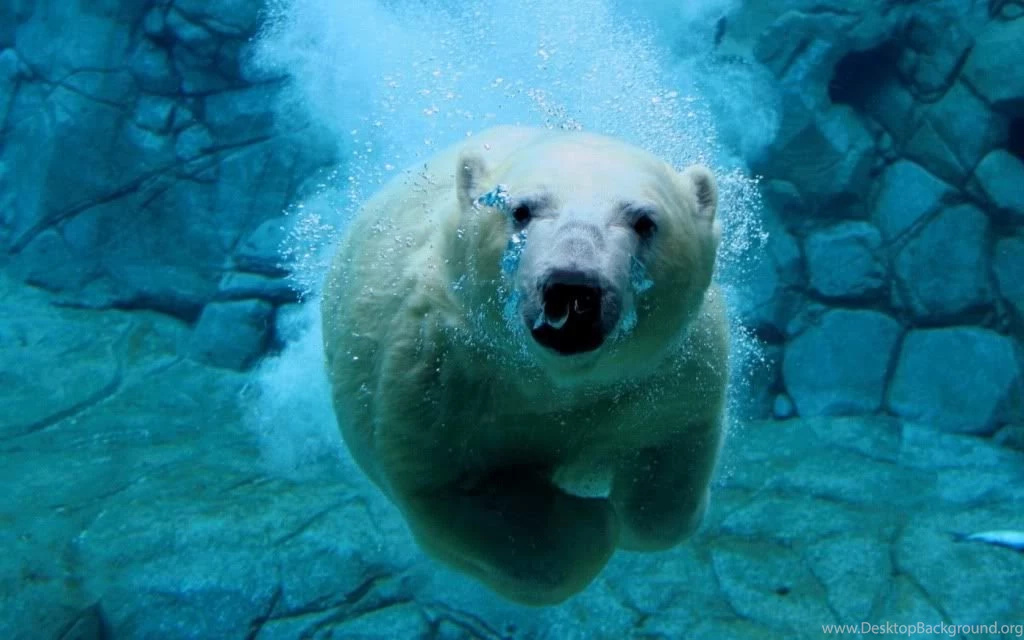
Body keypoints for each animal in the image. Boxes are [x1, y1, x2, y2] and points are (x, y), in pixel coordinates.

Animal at [321, 126, 728, 606]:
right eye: (520, 210)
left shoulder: (668, 372)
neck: (554, 381)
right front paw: (590, 521)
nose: (573, 288)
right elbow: (454, 492)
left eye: (645, 221)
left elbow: (670, 461)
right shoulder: (439, 376)